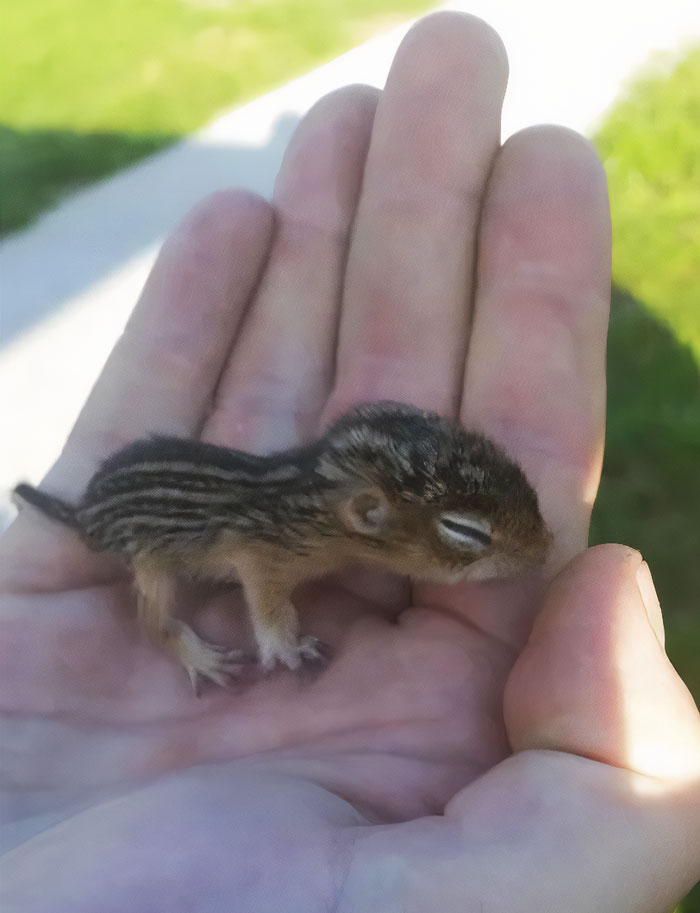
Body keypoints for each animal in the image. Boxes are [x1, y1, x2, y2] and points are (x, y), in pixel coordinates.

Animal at [13, 400, 552, 692]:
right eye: (467, 531)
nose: (546, 548)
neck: (308, 495)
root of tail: (85, 515)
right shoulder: (260, 556)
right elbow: (268, 607)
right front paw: (286, 647)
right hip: (149, 566)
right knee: (155, 625)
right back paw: (201, 659)